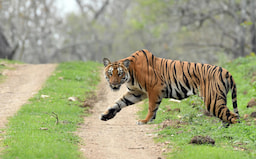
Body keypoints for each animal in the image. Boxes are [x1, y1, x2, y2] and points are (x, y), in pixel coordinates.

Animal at [99, 49, 238, 126]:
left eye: (120, 73)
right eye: (110, 73)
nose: (114, 84)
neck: (131, 74)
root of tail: (226, 72)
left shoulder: (155, 88)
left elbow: (151, 107)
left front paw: (145, 121)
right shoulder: (136, 93)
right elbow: (118, 103)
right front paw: (106, 115)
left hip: (212, 100)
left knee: (234, 117)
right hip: (218, 99)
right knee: (228, 117)